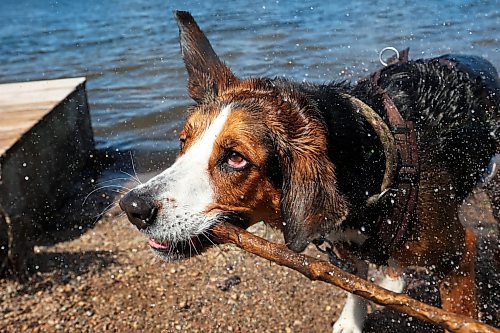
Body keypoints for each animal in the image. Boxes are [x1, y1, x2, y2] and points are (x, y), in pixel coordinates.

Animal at [119, 11, 498, 332]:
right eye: (183, 142)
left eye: (236, 158)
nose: (133, 207)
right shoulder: (346, 246)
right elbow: (356, 281)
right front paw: (352, 319)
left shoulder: (456, 255)